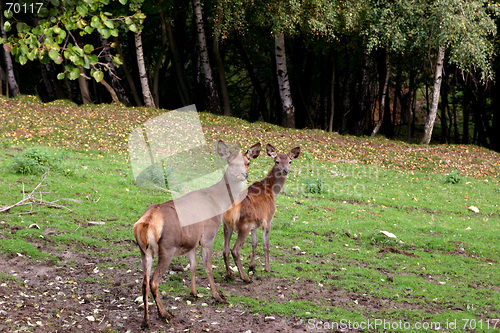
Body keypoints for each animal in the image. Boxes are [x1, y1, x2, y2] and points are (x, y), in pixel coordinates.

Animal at [133, 140, 262, 326]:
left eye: (248, 162)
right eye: (230, 162)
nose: (242, 175)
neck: (218, 202)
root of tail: (145, 224)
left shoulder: (191, 241)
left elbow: (193, 265)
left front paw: (193, 293)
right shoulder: (208, 235)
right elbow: (207, 266)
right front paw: (218, 296)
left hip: (144, 251)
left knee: (143, 282)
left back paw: (146, 321)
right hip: (167, 248)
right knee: (154, 281)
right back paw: (164, 314)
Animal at [224, 144, 300, 282]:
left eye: (290, 161)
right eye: (277, 161)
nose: (286, 171)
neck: (272, 191)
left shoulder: (255, 225)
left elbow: (255, 243)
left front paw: (252, 266)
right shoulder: (268, 219)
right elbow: (266, 244)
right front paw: (267, 268)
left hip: (227, 225)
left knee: (225, 249)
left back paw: (229, 274)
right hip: (244, 224)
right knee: (235, 250)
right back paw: (245, 278)